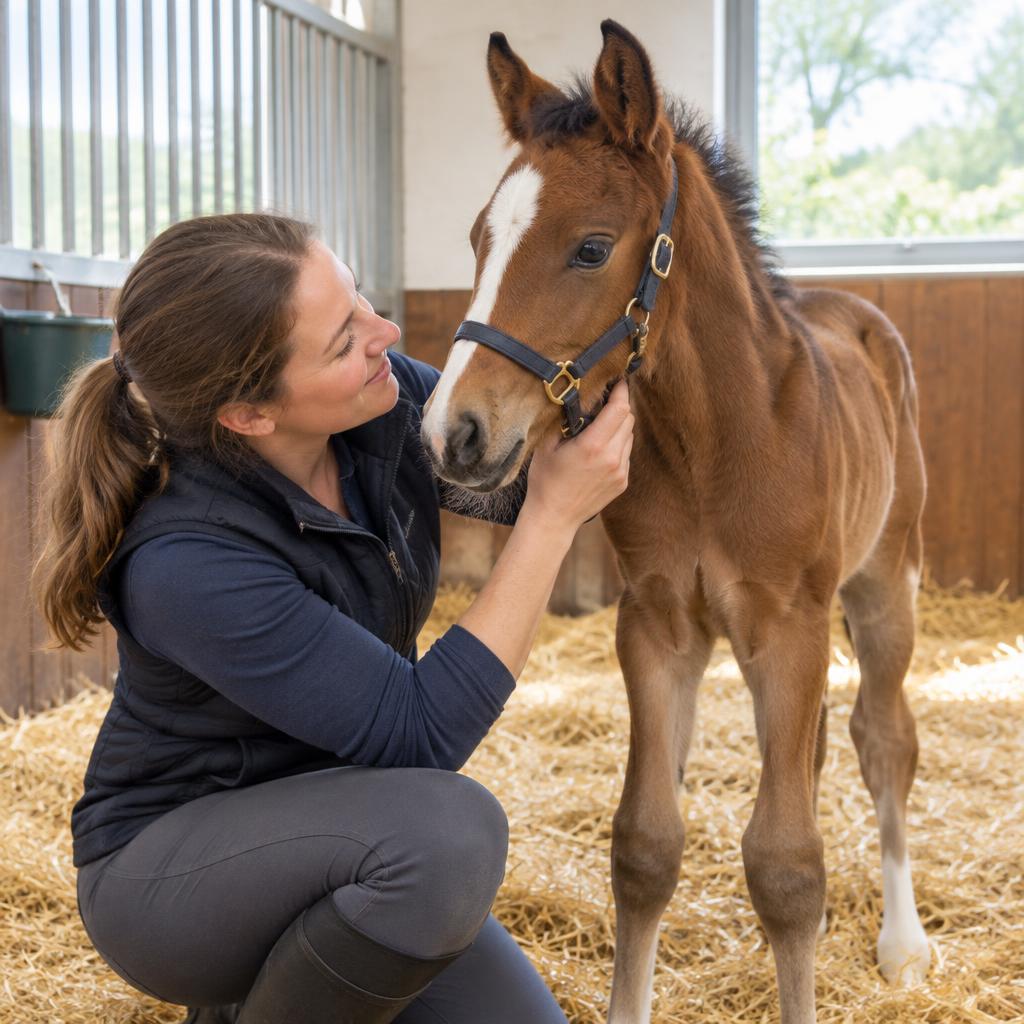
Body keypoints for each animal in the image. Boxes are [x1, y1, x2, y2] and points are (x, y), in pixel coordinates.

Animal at [420, 20, 930, 1024]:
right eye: (478, 238)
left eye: (590, 248)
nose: (453, 433)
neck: (712, 441)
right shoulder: (658, 625)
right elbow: (647, 845)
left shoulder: (790, 626)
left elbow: (787, 868)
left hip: (883, 585)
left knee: (883, 740)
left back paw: (901, 942)